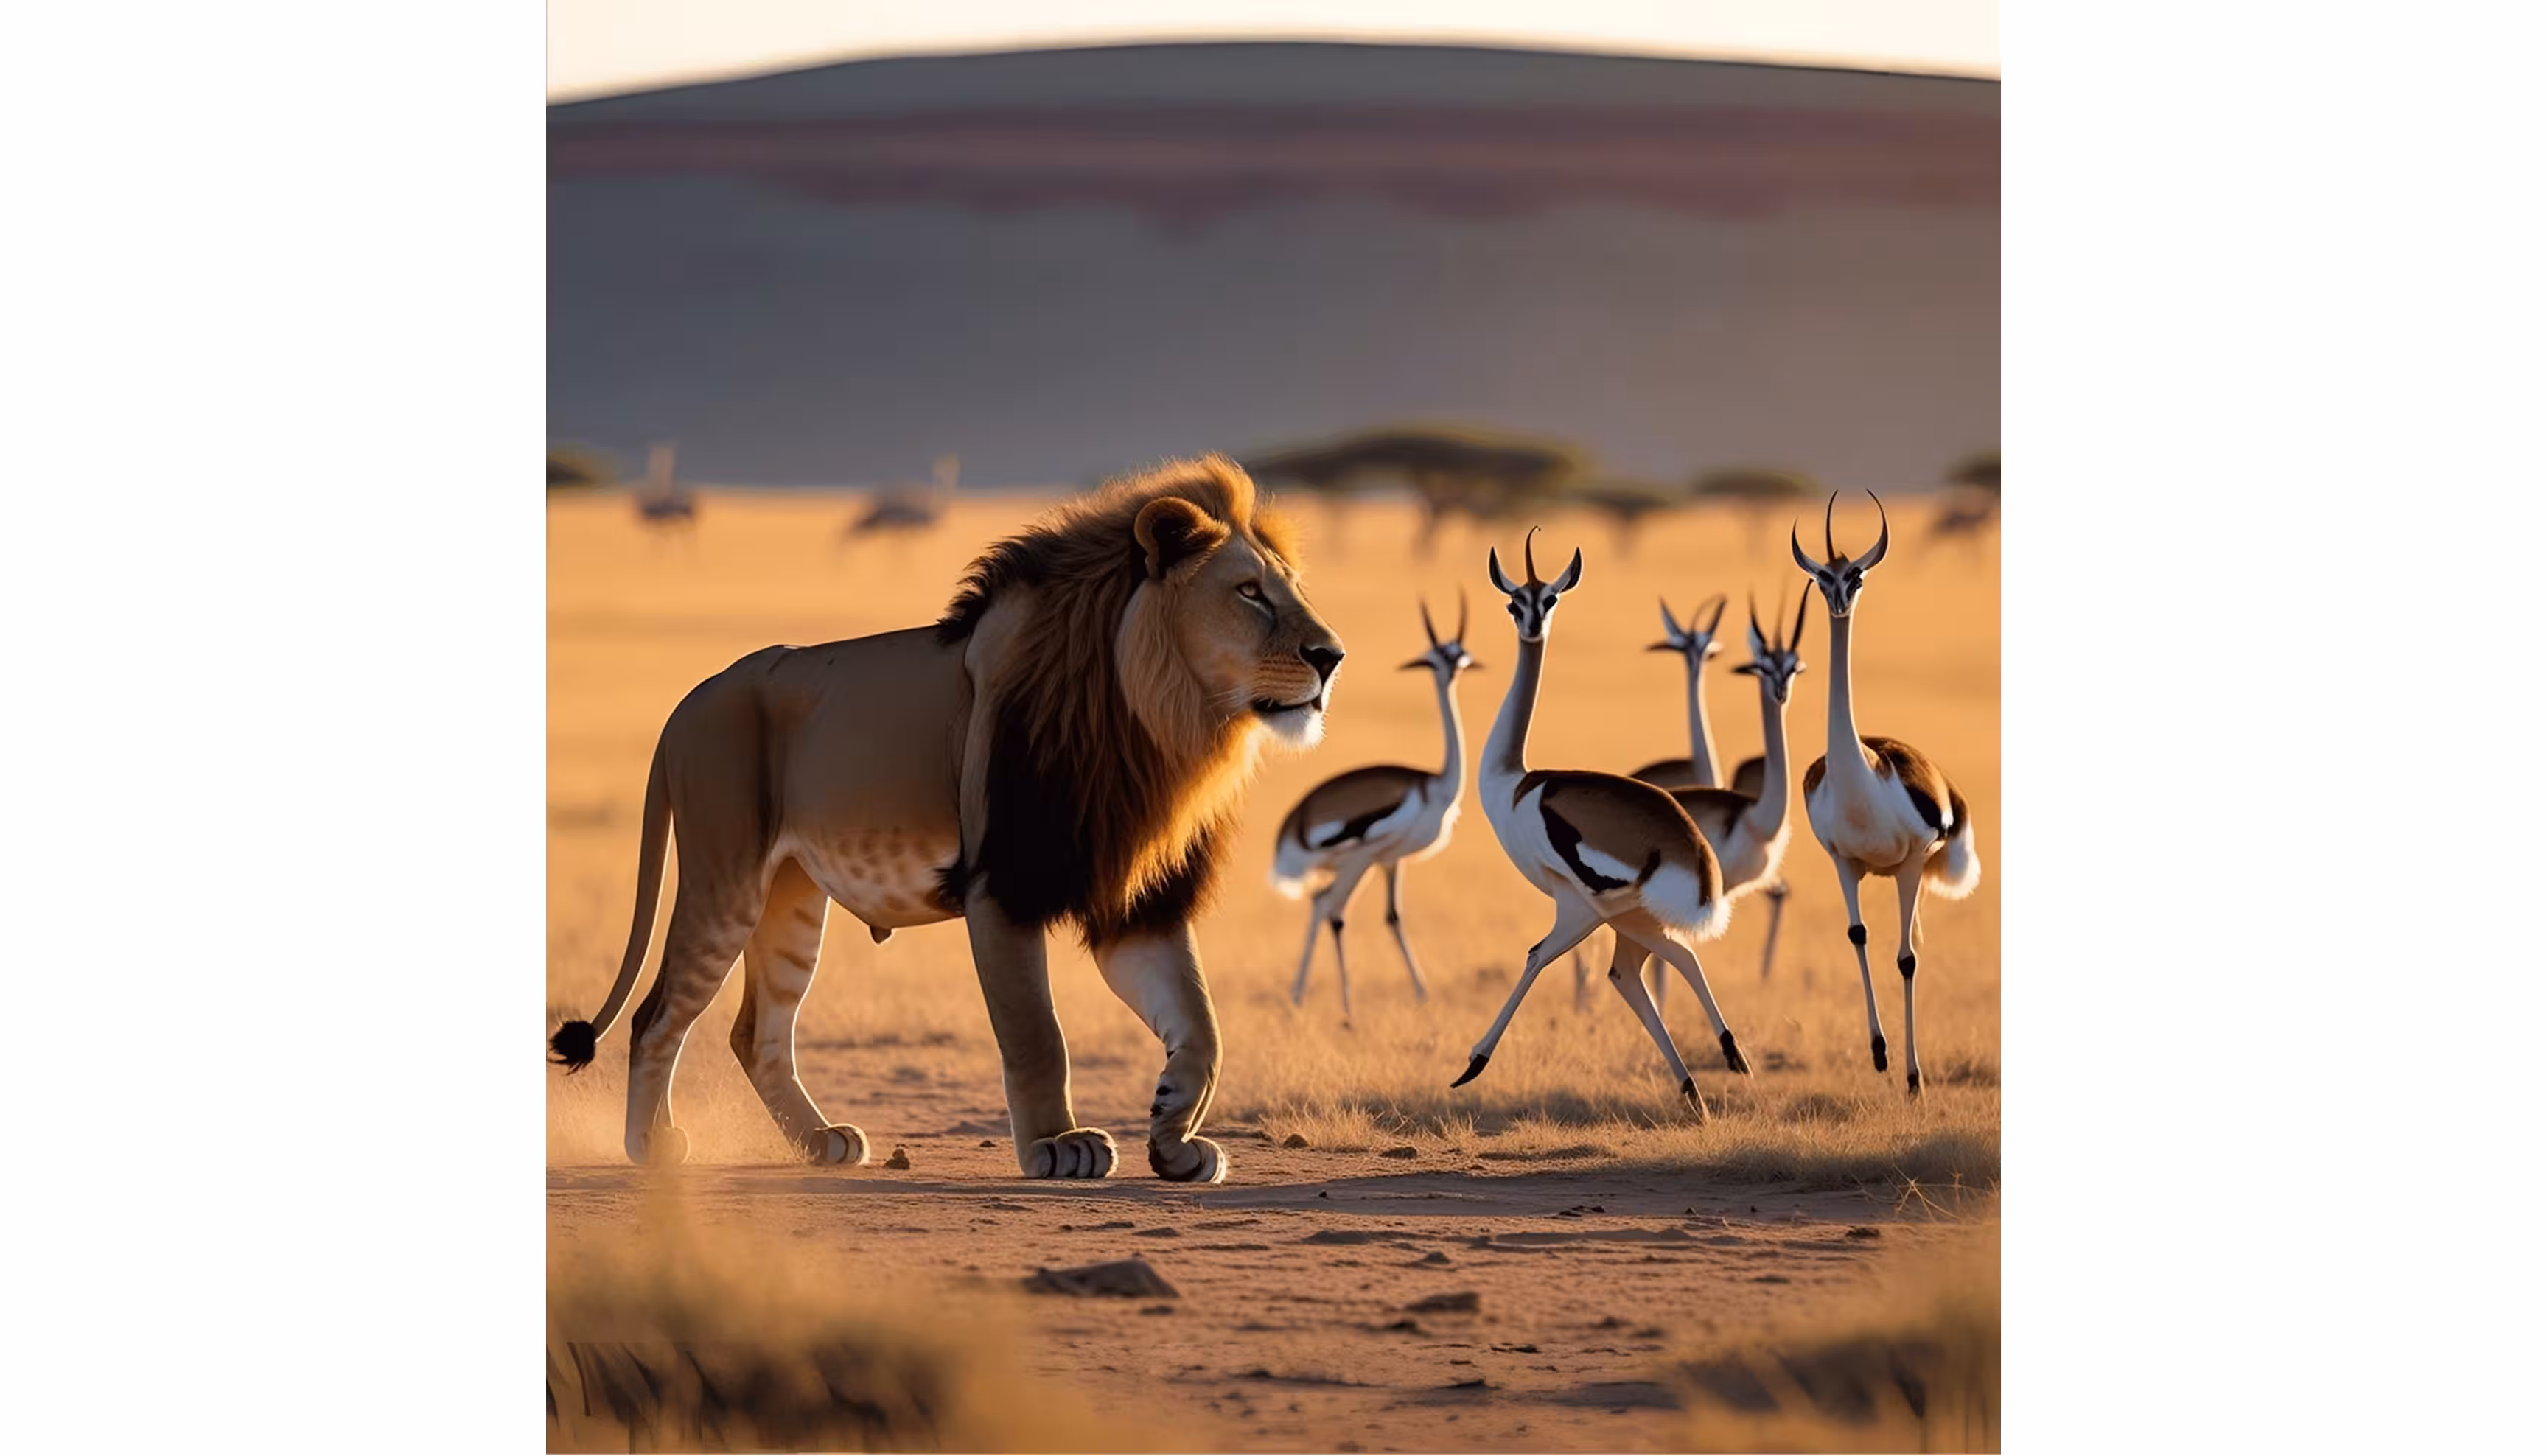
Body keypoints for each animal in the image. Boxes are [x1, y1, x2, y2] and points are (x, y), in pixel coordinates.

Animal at [548, 456, 1346, 1183]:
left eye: (1293, 589)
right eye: (1250, 592)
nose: (1332, 655)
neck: (1155, 723)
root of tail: (691, 699)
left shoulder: (1137, 904)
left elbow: (1202, 1029)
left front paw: (1174, 1135)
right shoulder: (1002, 883)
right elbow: (1037, 1034)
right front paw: (1059, 1145)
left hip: (791, 897)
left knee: (757, 1032)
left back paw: (820, 1141)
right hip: (726, 878)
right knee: (657, 1013)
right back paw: (651, 1145)